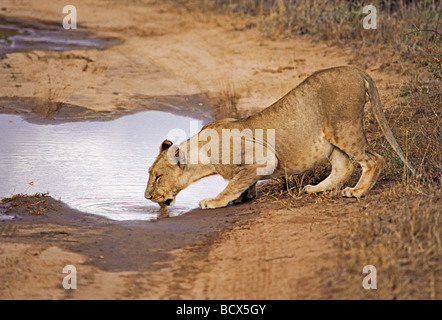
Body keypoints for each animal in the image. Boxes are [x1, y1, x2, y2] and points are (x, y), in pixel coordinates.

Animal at [144, 66, 418, 209]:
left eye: (157, 177)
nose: (147, 197)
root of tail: (355, 69)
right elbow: (243, 182)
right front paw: (244, 196)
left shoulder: (263, 156)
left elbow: (233, 183)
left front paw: (214, 201)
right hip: (331, 139)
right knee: (344, 166)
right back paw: (315, 189)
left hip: (345, 128)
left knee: (374, 159)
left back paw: (357, 192)